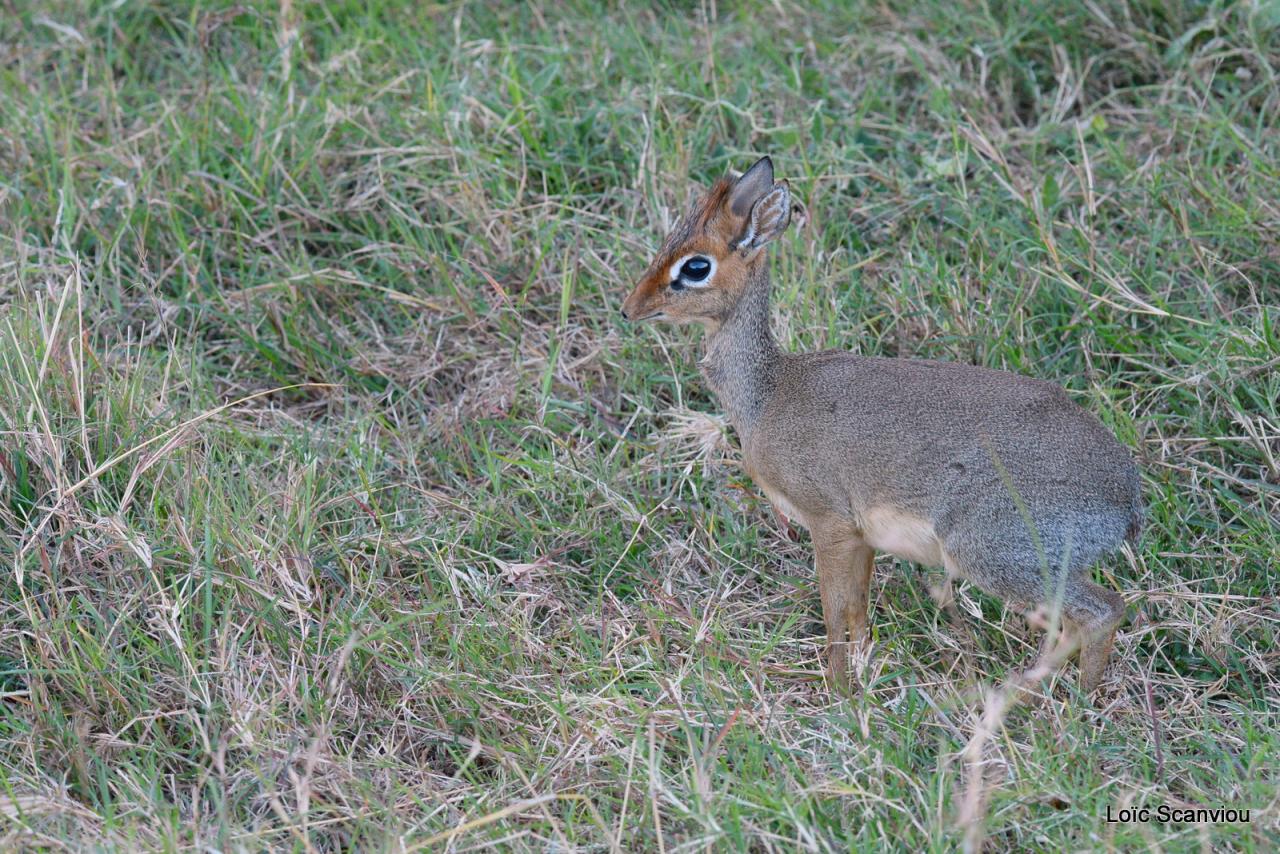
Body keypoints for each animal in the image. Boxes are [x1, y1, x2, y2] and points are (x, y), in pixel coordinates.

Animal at [619, 158, 1141, 696]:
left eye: (695, 266)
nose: (629, 308)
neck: (769, 392)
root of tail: (1126, 497)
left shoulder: (828, 521)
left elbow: (834, 613)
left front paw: (838, 692)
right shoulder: (863, 538)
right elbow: (857, 613)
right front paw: (861, 677)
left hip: (996, 555)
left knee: (1104, 610)